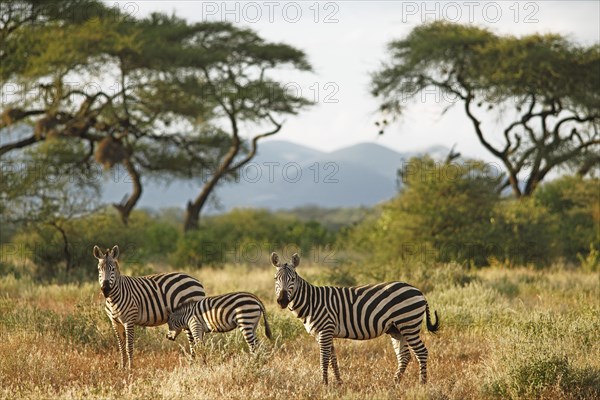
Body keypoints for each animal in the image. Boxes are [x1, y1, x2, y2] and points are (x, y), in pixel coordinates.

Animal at [274, 252, 438, 386]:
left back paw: (422, 384)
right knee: (404, 356)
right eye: (276, 279)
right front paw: (339, 383)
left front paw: (324, 384)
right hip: (396, 329)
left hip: (408, 325)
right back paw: (395, 383)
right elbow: (333, 359)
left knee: (421, 352)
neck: (312, 301)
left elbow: (324, 358)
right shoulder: (326, 332)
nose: (282, 300)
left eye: (293, 279)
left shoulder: (325, 330)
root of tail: (419, 291)